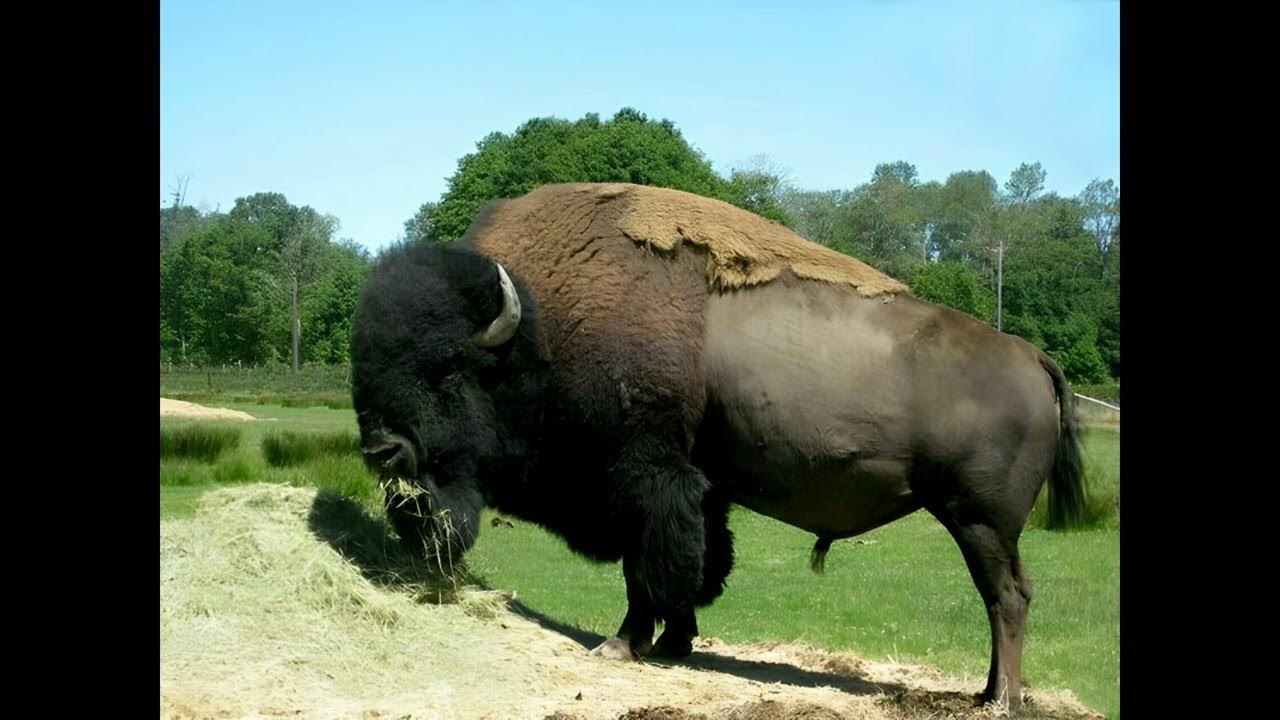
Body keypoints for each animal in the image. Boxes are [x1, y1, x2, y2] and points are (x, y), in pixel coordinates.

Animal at [351, 183, 1085, 713]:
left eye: (448, 369)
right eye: (366, 367)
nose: (384, 451)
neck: (539, 326)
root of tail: (1031, 356)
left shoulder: (644, 477)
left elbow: (650, 567)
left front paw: (622, 645)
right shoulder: (702, 488)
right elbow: (699, 562)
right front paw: (676, 643)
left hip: (979, 520)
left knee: (1007, 598)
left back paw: (1001, 701)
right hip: (981, 525)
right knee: (1004, 598)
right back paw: (986, 693)